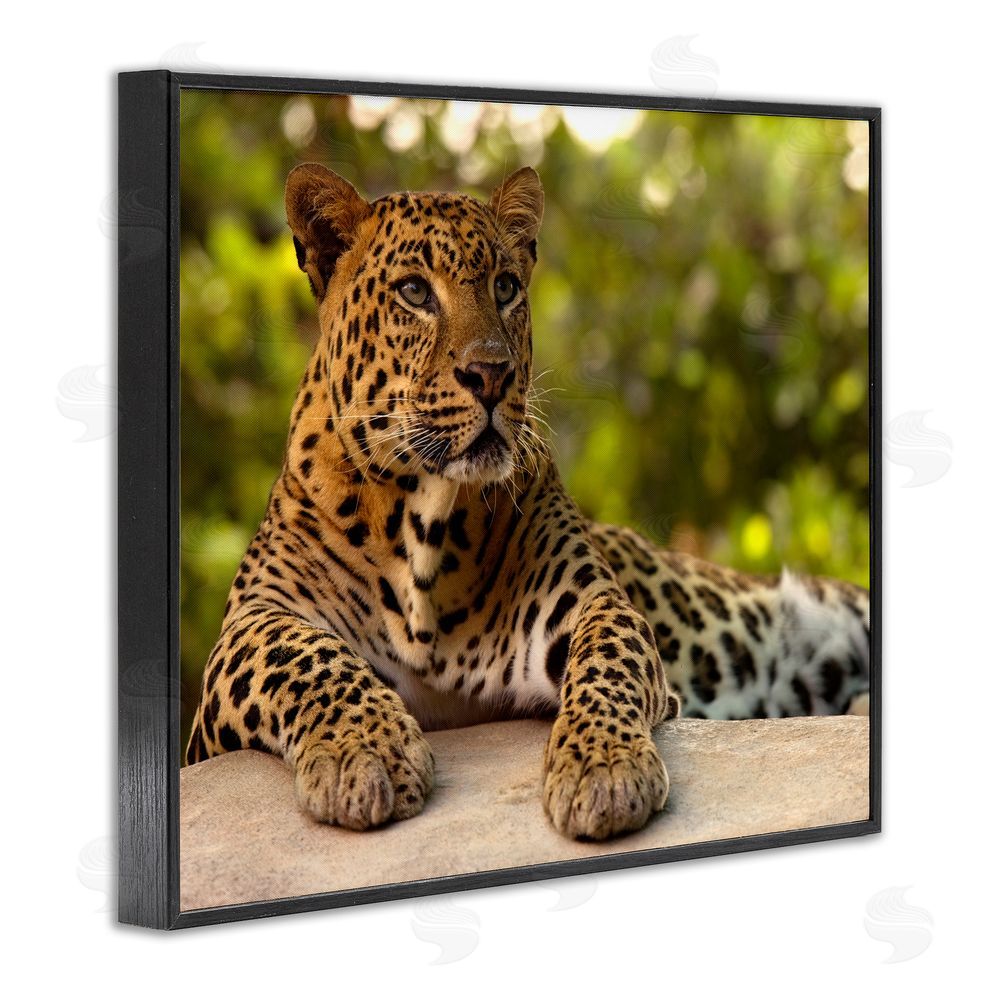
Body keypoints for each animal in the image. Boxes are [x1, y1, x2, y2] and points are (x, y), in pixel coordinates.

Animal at [184, 163, 870, 841]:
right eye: (414, 292)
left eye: (506, 286)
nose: (492, 374)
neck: (422, 520)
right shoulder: (247, 630)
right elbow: (304, 656)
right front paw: (366, 752)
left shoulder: (589, 602)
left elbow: (606, 660)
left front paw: (603, 768)